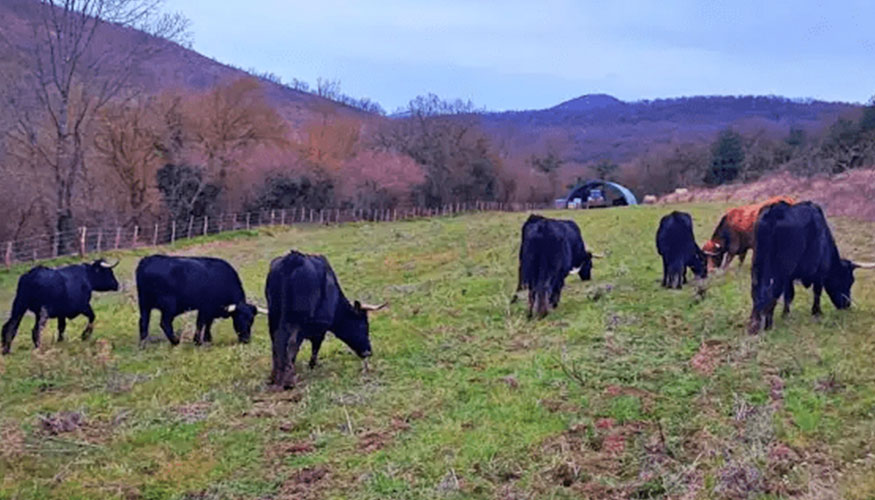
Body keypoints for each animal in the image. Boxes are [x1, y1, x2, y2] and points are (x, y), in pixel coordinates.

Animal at [135, 256, 266, 346]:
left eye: (252, 320)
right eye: (238, 319)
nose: (246, 340)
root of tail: (147, 260)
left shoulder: (211, 310)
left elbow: (208, 323)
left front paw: (208, 338)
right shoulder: (205, 307)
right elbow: (201, 323)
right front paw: (197, 341)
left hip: (144, 305)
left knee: (143, 322)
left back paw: (143, 344)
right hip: (168, 306)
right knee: (164, 323)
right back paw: (175, 341)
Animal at [264, 252, 386, 388]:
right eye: (363, 325)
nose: (368, 352)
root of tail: (293, 258)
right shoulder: (319, 328)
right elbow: (315, 346)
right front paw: (311, 365)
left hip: (273, 314)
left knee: (276, 341)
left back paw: (274, 377)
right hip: (297, 318)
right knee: (291, 342)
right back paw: (289, 380)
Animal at [744, 201, 875, 334]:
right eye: (849, 280)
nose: (847, 304)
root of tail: (773, 213)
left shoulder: (789, 277)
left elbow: (788, 295)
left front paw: (786, 314)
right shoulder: (819, 273)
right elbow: (816, 292)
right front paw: (816, 312)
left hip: (758, 265)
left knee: (756, 291)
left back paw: (754, 324)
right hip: (780, 269)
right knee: (772, 292)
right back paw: (768, 325)